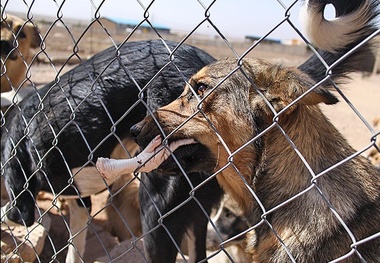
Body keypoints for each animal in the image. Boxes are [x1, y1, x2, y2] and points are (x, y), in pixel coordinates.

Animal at [0, 39, 223, 263]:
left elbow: (9, 213)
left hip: (155, 208)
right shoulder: (79, 201)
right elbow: (75, 247)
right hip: (198, 213)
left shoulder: (21, 199)